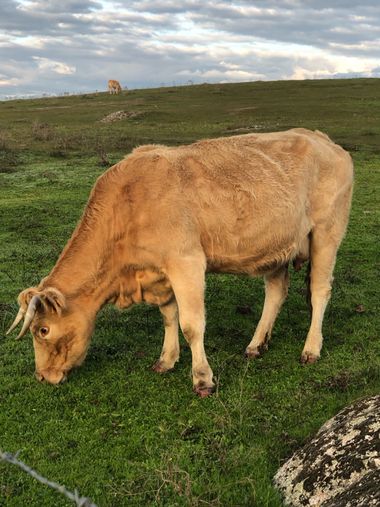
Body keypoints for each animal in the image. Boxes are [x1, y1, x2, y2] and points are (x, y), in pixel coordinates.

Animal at [6, 130, 354, 396]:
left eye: (43, 330)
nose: (42, 376)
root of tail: (325, 140)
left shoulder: (186, 262)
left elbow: (191, 324)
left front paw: (202, 379)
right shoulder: (160, 272)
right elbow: (169, 316)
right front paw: (167, 359)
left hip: (326, 233)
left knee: (319, 292)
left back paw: (311, 348)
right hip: (277, 244)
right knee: (276, 292)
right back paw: (256, 344)